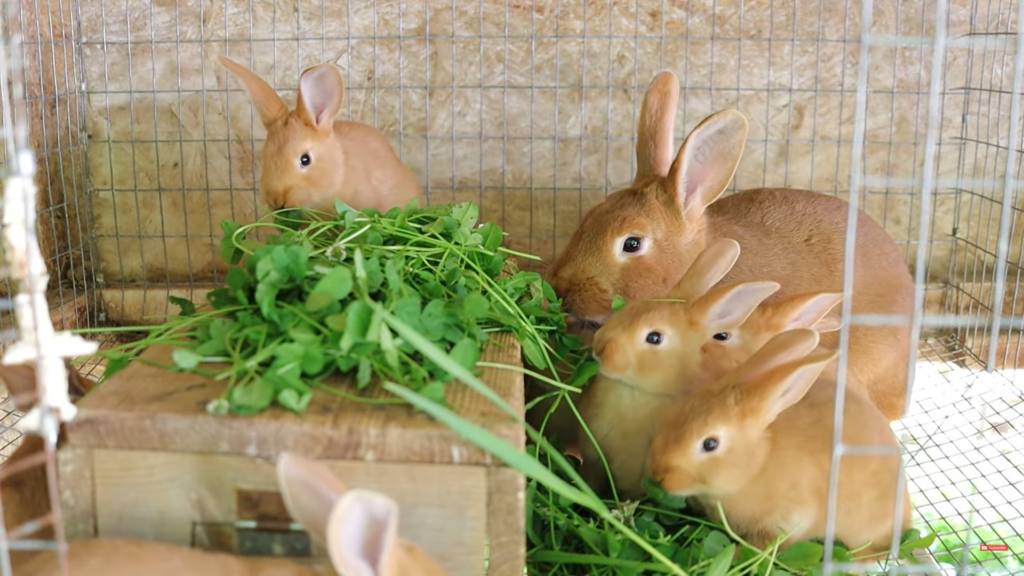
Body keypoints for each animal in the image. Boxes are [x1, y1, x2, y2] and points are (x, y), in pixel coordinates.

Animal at [646, 329, 914, 556]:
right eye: (676, 412)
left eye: (710, 444)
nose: (658, 473)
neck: (757, 466)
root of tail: (906, 513)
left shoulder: (789, 519)